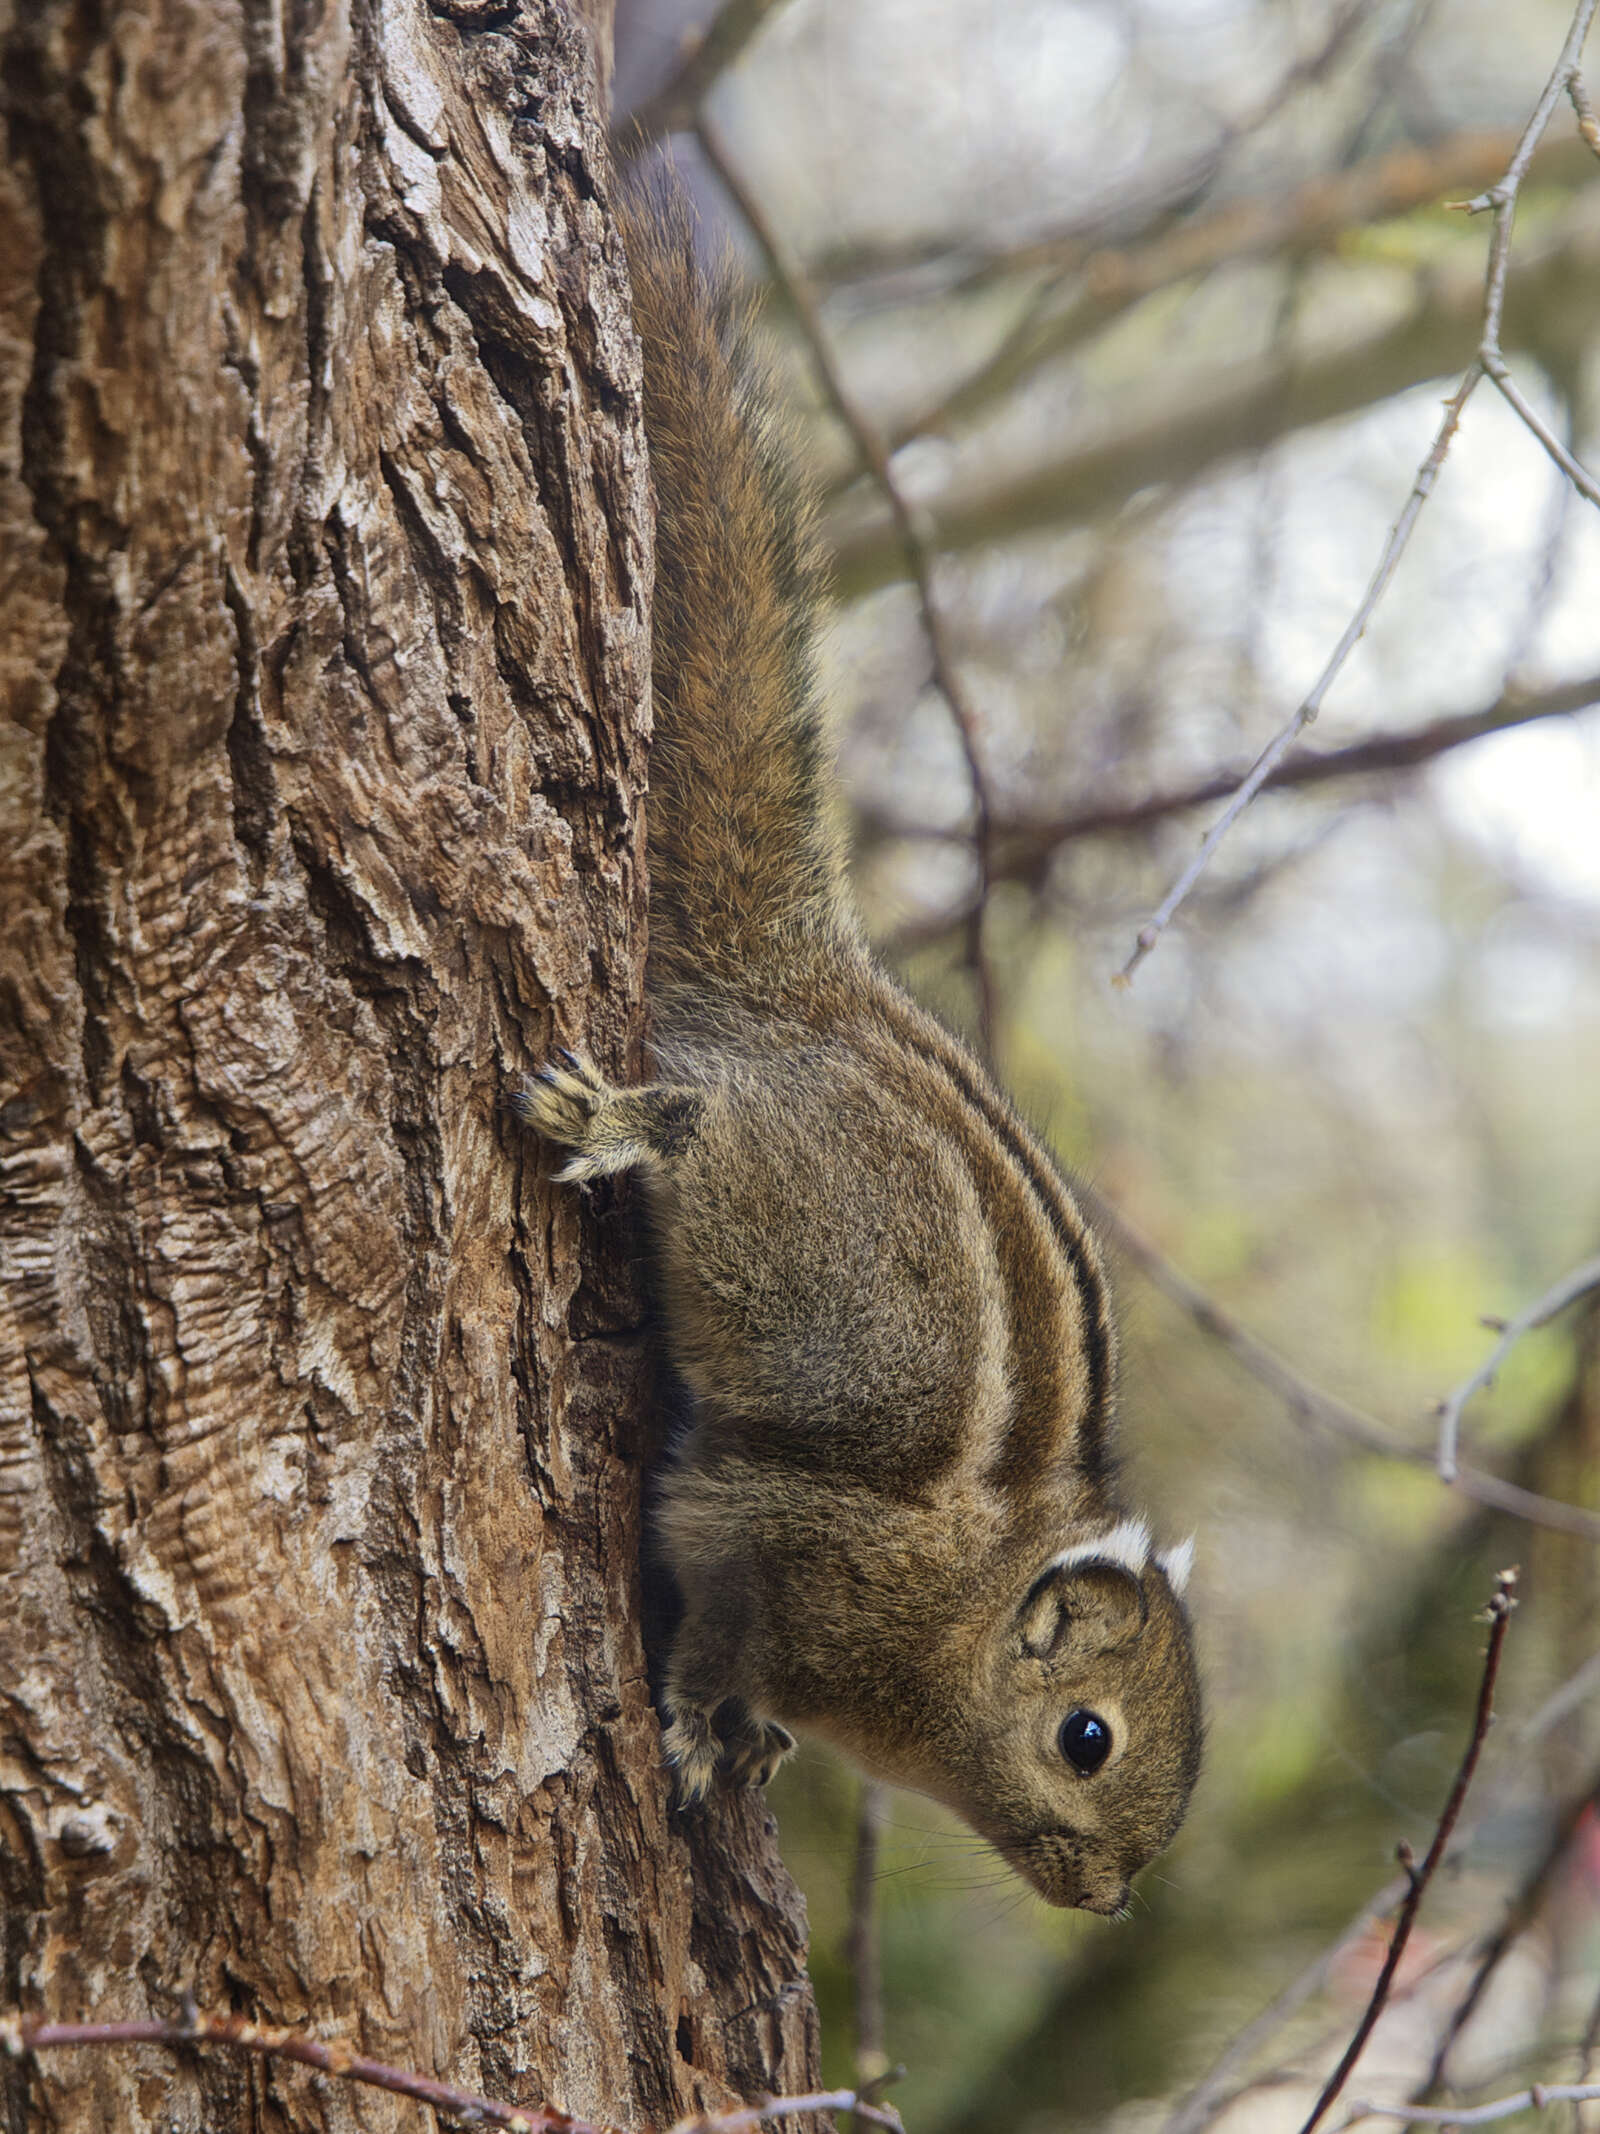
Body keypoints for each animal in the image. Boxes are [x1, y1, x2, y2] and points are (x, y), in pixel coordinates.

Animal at [520, 187, 1211, 1920]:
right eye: (1087, 1738)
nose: (1108, 1898)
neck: (962, 1611)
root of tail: (804, 1000)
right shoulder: (783, 1546)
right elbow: (719, 1622)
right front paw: (704, 1722)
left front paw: (749, 1735)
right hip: (776, 1200)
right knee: (699, 1128)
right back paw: (625, 1122)